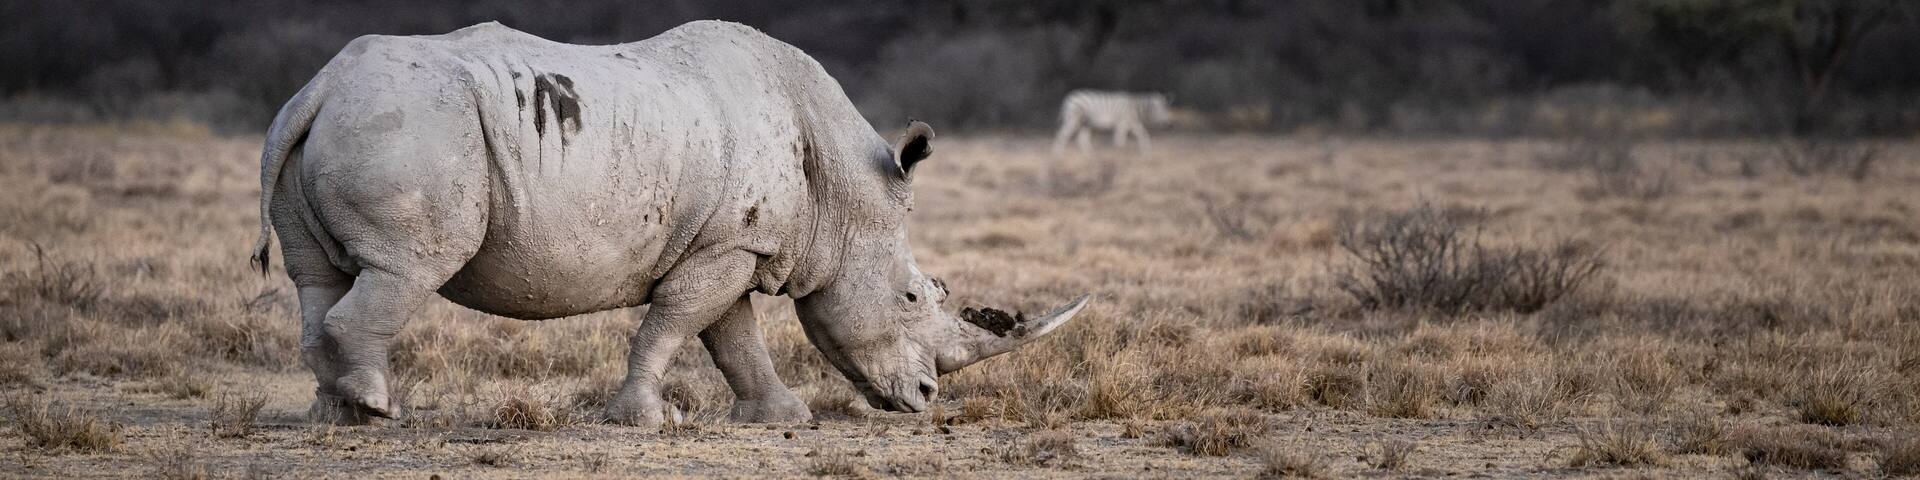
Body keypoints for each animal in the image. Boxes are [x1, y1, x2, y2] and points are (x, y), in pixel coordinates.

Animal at [249, 20, 1089, 426]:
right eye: (915, 296)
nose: (923, 398)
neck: (843, 193)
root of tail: (319, 88)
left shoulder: (737, 242)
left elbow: (731, 335)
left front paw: (779, 416)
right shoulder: (730, 243)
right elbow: (678, 322)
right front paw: (650, 419)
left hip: (340, 125)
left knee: (319, 278)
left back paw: (337, 416)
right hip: (414, 126)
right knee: (409, 265)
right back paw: (377, 409)